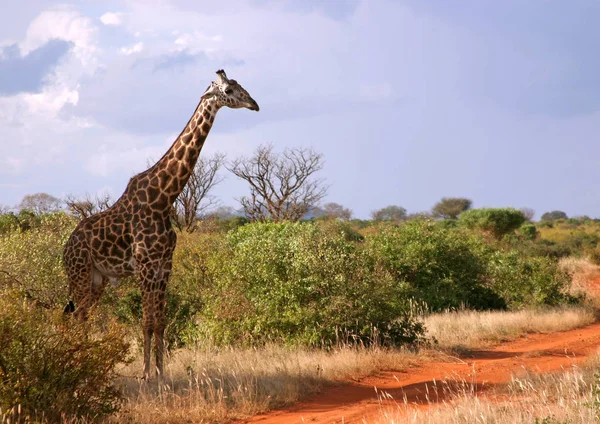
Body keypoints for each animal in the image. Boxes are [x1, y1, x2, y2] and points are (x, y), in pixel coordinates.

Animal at [64, 70, 258, 380]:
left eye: (240, 86)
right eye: (228, 90)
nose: (254, 104)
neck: (164, 197)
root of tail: (66, 247)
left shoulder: (165, 264)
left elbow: (161, 322)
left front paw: (162, 376)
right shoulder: (145, 264)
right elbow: (146, 322)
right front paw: (145, 377)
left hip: (97, 279)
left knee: (84, 315)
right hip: (79, 273)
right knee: (79, 316)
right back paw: (79, 368)